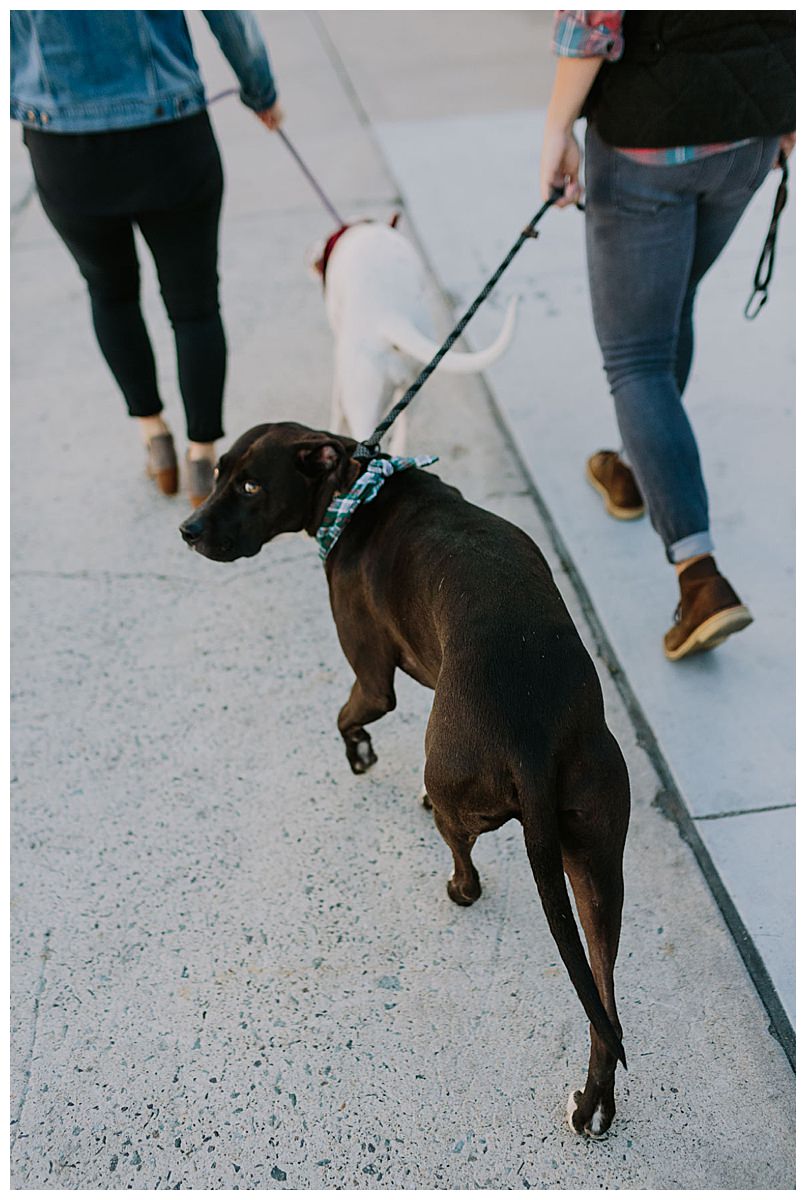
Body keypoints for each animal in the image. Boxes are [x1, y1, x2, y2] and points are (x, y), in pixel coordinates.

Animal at [181, 422, 628, 1132]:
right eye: (219, 471)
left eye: (250, 485)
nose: (188, 529)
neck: (358, 489)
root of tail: (532, 736)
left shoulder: (372, 680)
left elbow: (346, 717)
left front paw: (360, 753)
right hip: (598, 867)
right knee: (603, 999)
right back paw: (594, 1103)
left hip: (459, 794)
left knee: (465, 863)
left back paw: (457, 885)